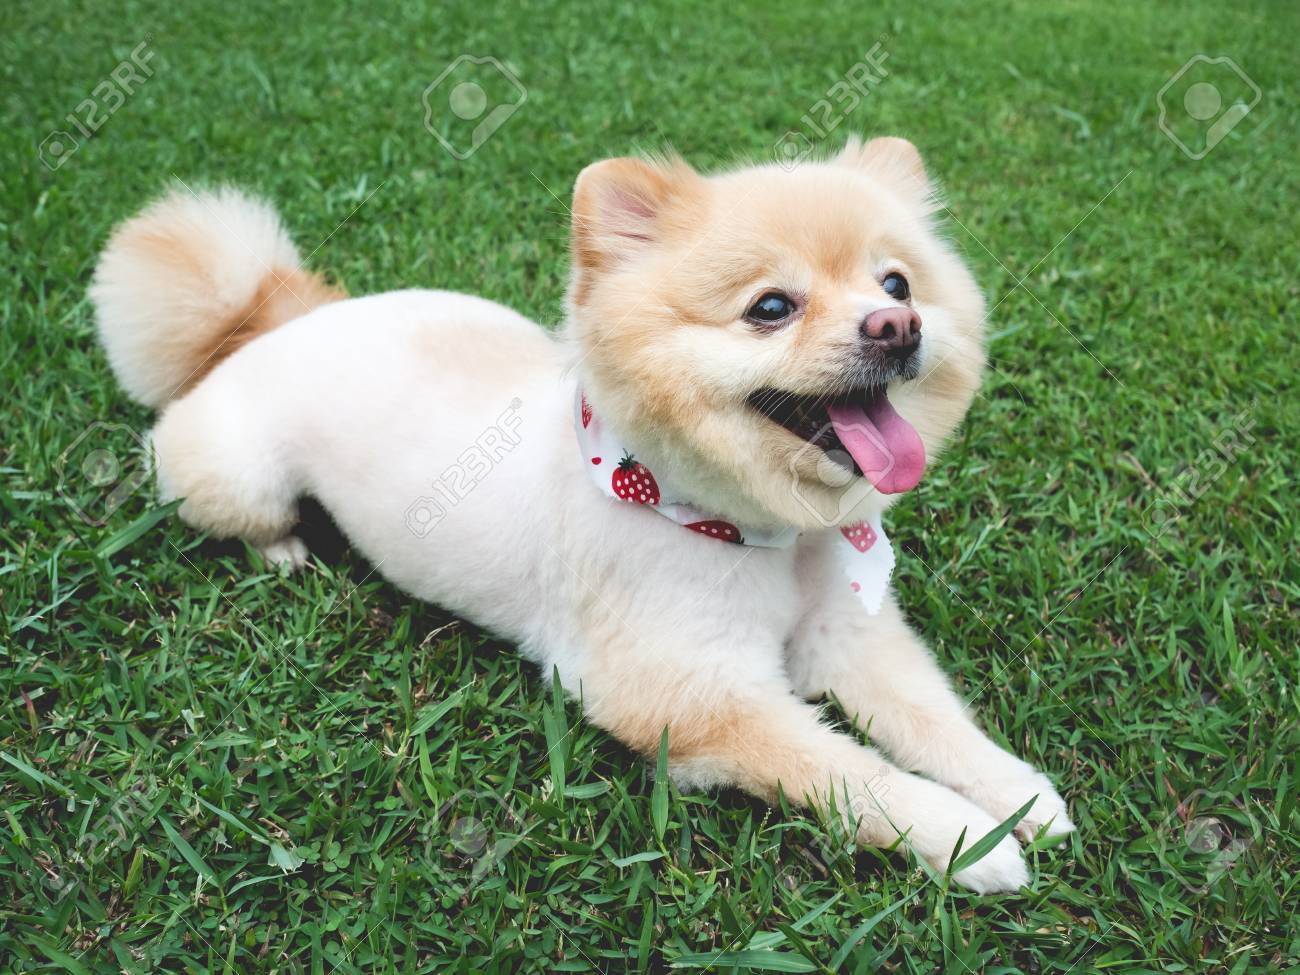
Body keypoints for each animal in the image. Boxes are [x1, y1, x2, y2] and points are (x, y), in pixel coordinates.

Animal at [90, 136, 1073, 893]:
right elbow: (847, 772)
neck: (761, 534)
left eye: (898, 284)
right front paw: (964, 840)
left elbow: (934, 719)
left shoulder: (849, 637)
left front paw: (1015, 795)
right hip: (233, 476)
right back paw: (285, 548)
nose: (895, 328)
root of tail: (280, 312)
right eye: (770, 307)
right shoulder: (695, 697)